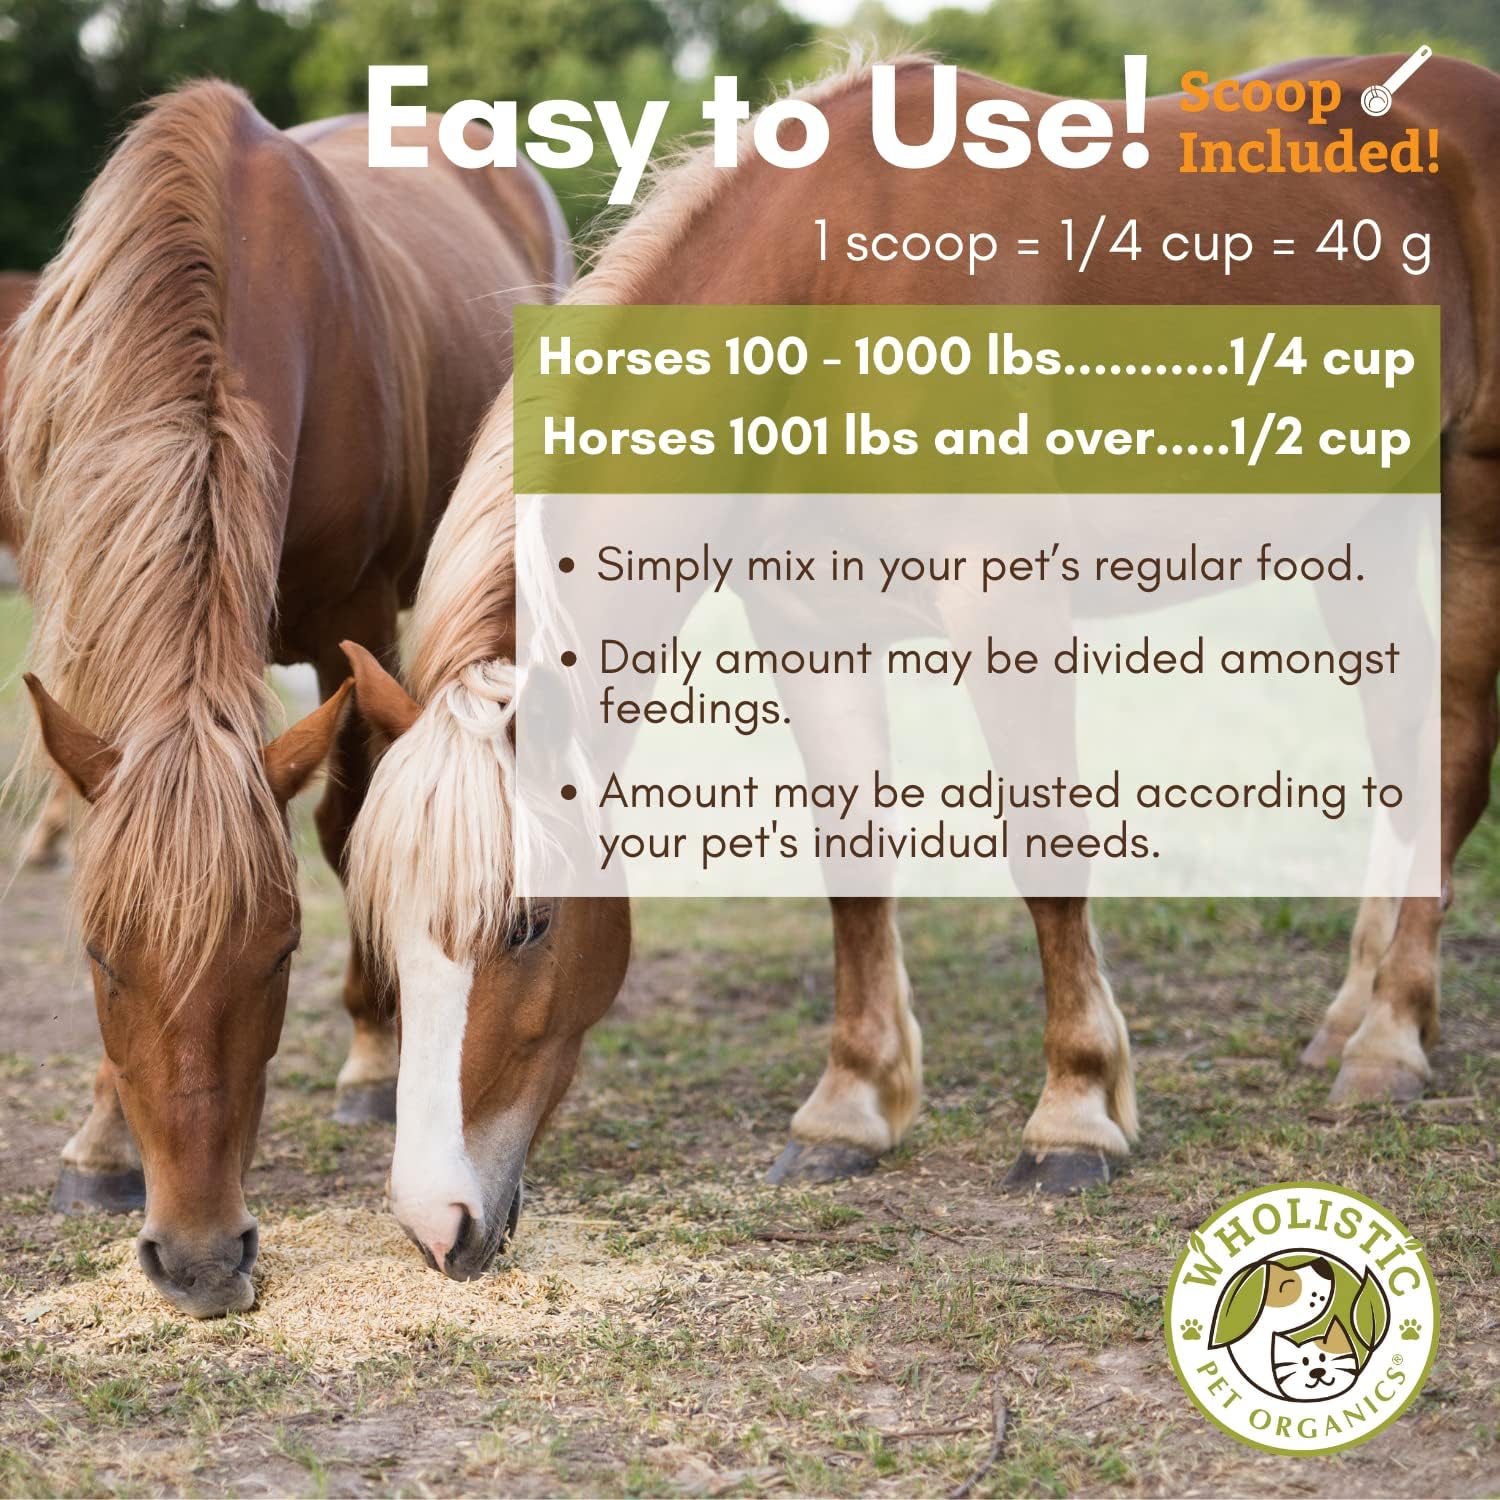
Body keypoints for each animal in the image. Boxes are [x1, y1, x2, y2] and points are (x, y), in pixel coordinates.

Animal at [5, 81, 572, 1315]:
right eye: (98, 958)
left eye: (278, 955)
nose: (203, 1258)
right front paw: (101, 1140)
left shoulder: (348, 621)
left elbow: (350, 827)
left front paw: (371, 1053)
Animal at [340, 54, 1500, 1279]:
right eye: (386, 932)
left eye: (529, 924)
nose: (435, 1221)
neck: (828, 292)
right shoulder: (806, 622)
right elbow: (853, 859)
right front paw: (850, 1111)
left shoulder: (1008, 601)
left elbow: (1046, 851)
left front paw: (1074, 1113)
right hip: (1368, 522)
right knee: (1400, 740)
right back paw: (1354, 1011)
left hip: (1467, 490)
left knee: (1450, 742)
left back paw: (1392, 1038)